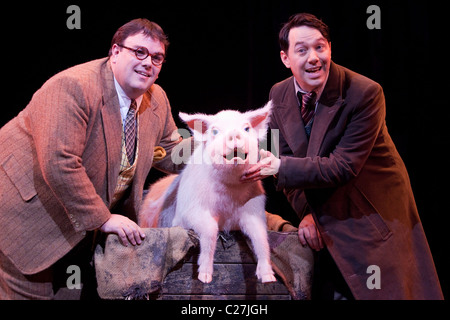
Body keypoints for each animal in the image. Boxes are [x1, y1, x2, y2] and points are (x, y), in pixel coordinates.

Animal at [140, 101, 278, 284]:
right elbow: (211, 229)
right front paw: (204, 277)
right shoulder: (188, 212)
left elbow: (261, 237)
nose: (234, 133)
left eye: (246, 128)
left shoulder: (254, 209)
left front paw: (268, 278)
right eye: (215, 131)